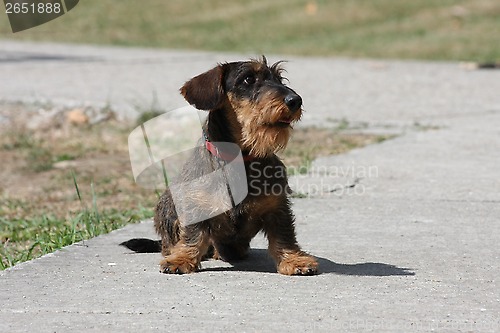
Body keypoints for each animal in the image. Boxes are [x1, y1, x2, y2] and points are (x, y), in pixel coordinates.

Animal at [123, 56, 318, 274]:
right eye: (248, 79)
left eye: (280, 79)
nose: (295, 100)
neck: (240, 158)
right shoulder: (195, 207)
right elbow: (192, 235)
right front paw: (181, 259)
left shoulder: (277, 207)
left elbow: (284, 236)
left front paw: (295, 260)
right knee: (169, 243)